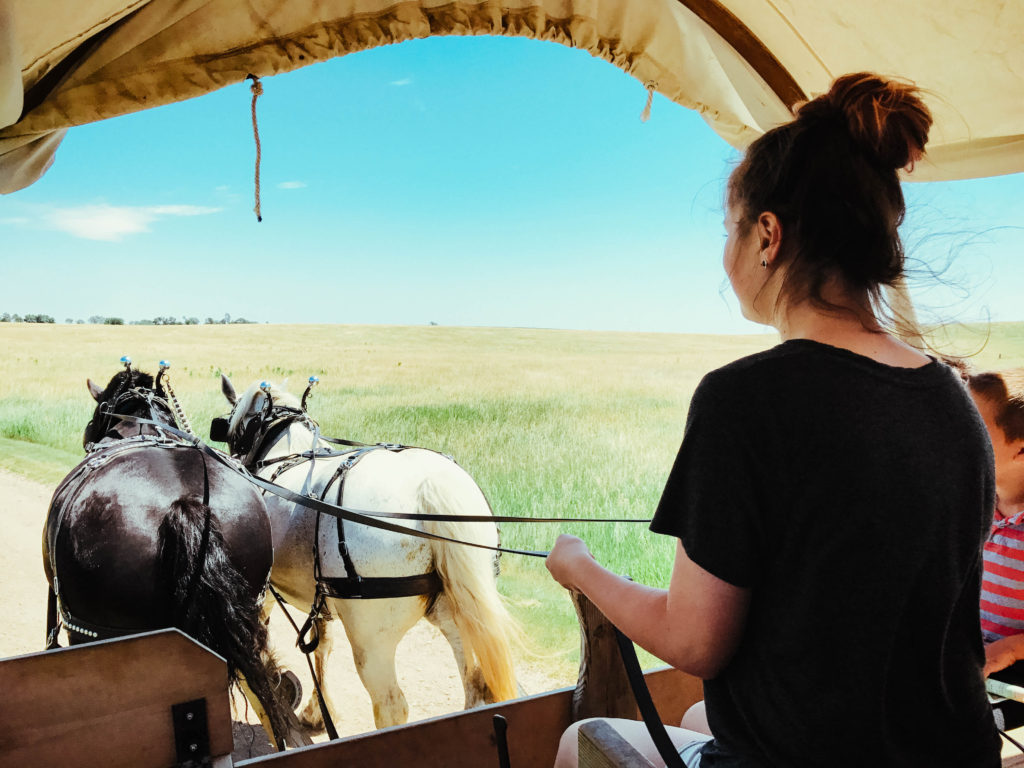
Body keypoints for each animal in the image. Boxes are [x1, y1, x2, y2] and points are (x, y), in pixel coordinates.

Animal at [219, 378, 516, 733]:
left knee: (391, 706)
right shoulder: (321, 597)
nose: (235, 462)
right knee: (476, 688)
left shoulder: (264, 591)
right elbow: (323, 645)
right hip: (460, 612)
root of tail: (429, 486)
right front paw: (317, 712)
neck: (284, 453)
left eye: (232, 428)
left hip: (372, 641)